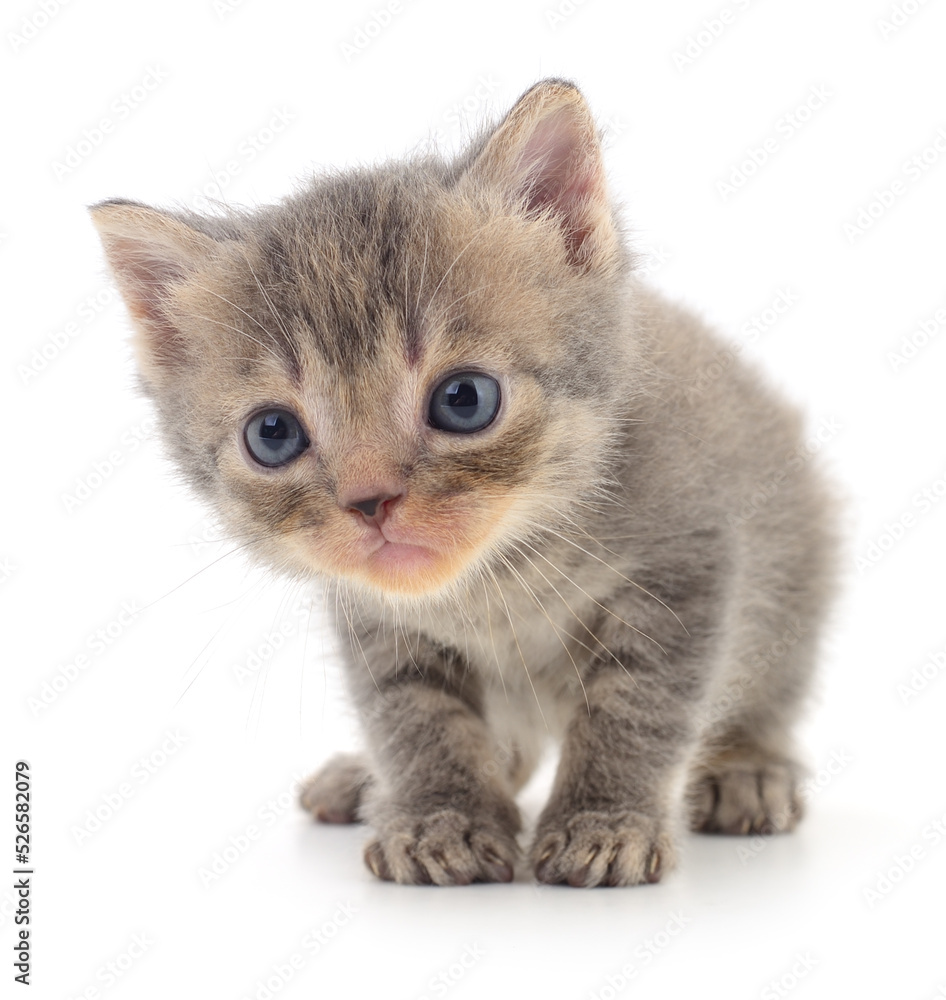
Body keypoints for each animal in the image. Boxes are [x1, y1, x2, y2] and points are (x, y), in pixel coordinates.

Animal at [92, 82, 836, 888]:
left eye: (464, 399)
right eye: (273, 434)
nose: (371, 500)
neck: (497, 582)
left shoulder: (687, 565)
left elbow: (638, 704)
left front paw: (605, 820)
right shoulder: (375, 621)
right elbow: (413, 715)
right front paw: (439, 816)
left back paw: (748, 768)